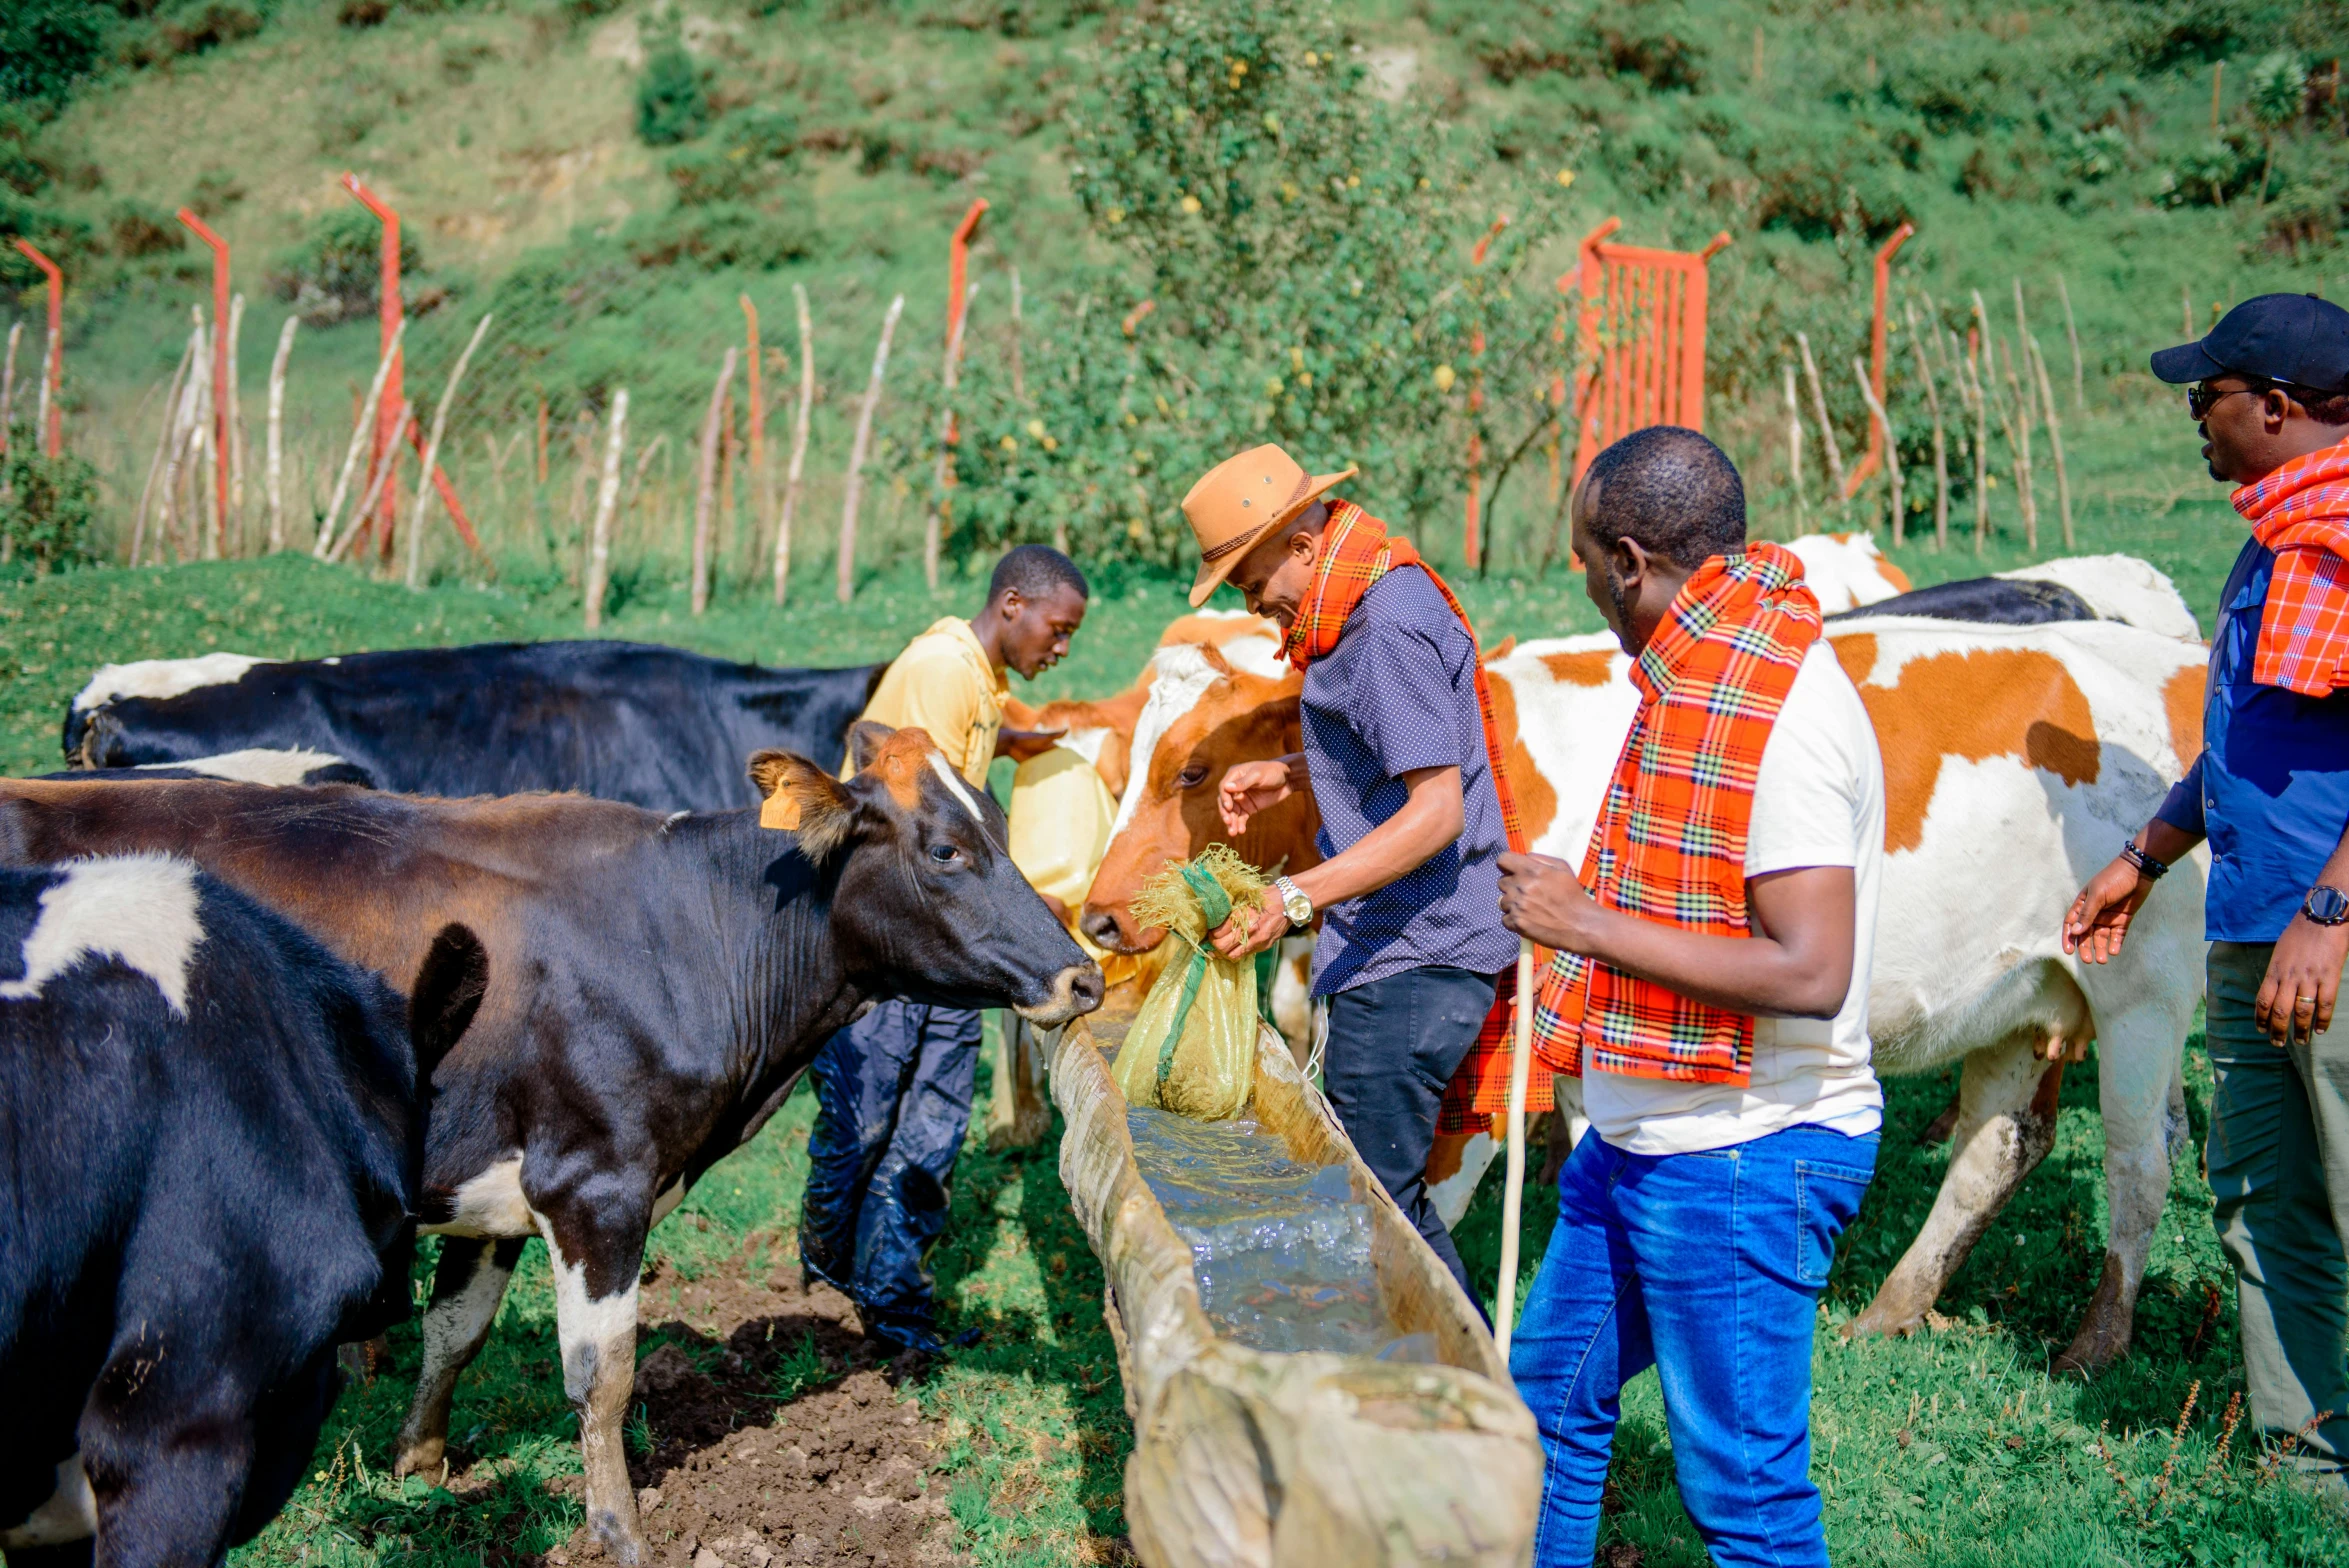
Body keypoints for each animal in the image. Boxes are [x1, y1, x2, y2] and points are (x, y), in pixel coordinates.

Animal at [1085, 614, 2217, 1370]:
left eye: (1192, 770)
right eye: (1118, 758)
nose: (1097, 916)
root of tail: (2170, 664)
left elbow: (1432, 1195)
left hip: (2142, 992)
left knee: (2140, 1160)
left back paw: (2095, 1338)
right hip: (2022, 998)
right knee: (1997, 1146)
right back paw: (1893, 1305)